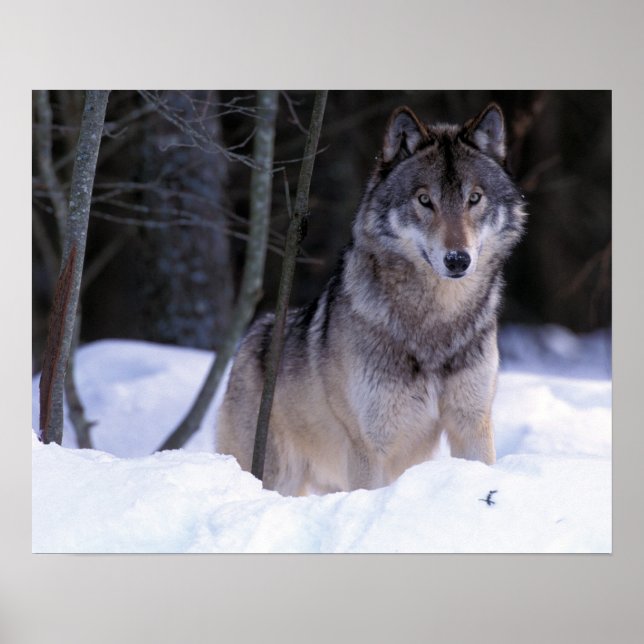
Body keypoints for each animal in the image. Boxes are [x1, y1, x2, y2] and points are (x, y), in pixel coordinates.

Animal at [216, 102, 526, 496]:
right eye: (424, 200)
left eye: (474, 198)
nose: (458, 259)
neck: (436, 323)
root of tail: (250, 339)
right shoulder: (370, 445)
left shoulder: (472, 424)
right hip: (278, 475)